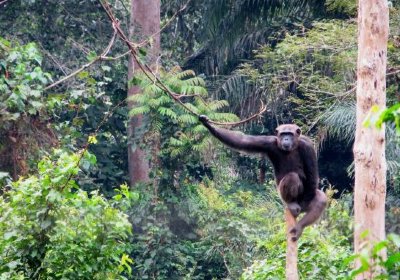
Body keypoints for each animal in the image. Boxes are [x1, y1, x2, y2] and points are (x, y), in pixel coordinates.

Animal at [200, 116, 328, 241]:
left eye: (290, 134)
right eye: (283, 134)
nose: (286, 139)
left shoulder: (308, 146)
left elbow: (312, 173)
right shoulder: (267, 142)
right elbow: (243, 141)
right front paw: (208, 124)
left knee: (320, 199)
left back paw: (300, 226)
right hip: (282, 196)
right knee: (292, 177)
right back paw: (291, 204)